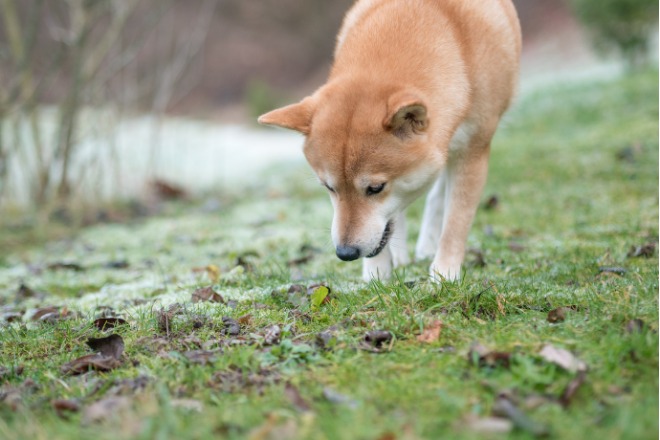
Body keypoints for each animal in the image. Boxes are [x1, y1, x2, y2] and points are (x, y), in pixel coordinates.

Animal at [258, 0, 520, 282]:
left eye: (376, 188)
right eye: (329, 187)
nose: (346, 253)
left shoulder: (473, 152)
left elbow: (456, 223)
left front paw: (443, 276)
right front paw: (376, 275)